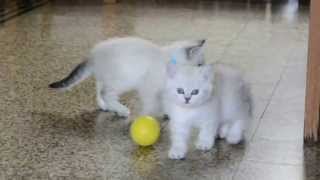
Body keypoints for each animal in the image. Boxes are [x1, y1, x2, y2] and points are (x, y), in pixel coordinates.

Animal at [49, 37, 205, 117]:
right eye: (199, 64)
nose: (204, 72)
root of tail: (93, 55)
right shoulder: (148, 87)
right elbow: (152, 104)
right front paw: (151, 116)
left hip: (106, 77)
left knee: (99, 89)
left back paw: (105, 106)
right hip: (122, 80)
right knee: (106, 93)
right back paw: (121, 110)